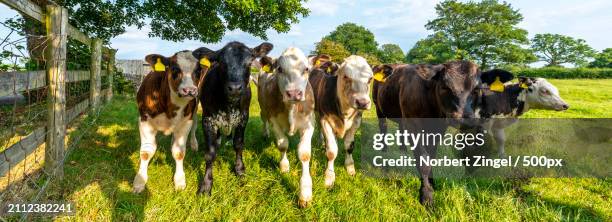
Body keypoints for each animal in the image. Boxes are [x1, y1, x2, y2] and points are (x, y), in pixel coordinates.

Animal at [131, 50, 208, 193]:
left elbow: (179, 152)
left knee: (195, 125)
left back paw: (194, 144)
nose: (190, 90)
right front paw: (140, 181)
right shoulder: (144, 121)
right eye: (174, 68)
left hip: (195, 108)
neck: (171, 109)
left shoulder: (185, 123)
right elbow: (146, 152)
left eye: (198, 70)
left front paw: (179, 180)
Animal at [195, 42, 274, 196]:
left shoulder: (243, 118)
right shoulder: (207, 120)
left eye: (249, 63)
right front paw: (206, 185)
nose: (235, 88)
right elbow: (210, 153)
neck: (229, 105)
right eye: (221, 63)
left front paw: (239, 170)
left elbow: (238, 144)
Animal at [256, 47, 316, 208]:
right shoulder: (274, 122)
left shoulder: (309, 124)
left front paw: (305, 193)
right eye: (279, 69)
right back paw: (265, 133)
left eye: (306, 69)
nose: (294, 93)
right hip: (263, 107)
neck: (291, 109)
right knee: (263, 119)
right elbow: (283, 145)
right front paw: (284, 167)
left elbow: (304, 154)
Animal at [372, 60, 482, 206]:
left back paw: (403, 149)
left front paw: (432, 183)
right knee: (383, 127)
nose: (464, 119)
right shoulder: (413, 126)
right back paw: (384, 150)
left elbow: (431, 157)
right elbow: (424, 161)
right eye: (445, 87)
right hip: (378, 107)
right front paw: (427, 196)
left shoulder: (437, 130)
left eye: (476, 89)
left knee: (400, 128)